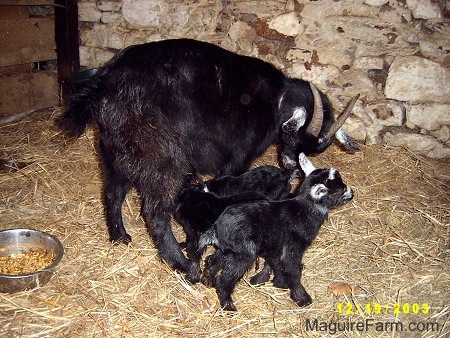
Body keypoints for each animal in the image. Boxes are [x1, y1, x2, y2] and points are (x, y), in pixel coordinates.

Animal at [57, 38, 358, 274]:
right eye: (296, 137)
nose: (291, 163)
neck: (275, 100)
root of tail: (107, 83)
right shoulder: (237, 157)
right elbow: (229, 182)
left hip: (115, 149)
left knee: (112, 192)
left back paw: (119, 237)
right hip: (159, 153)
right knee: (154, 212)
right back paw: (181, 263)